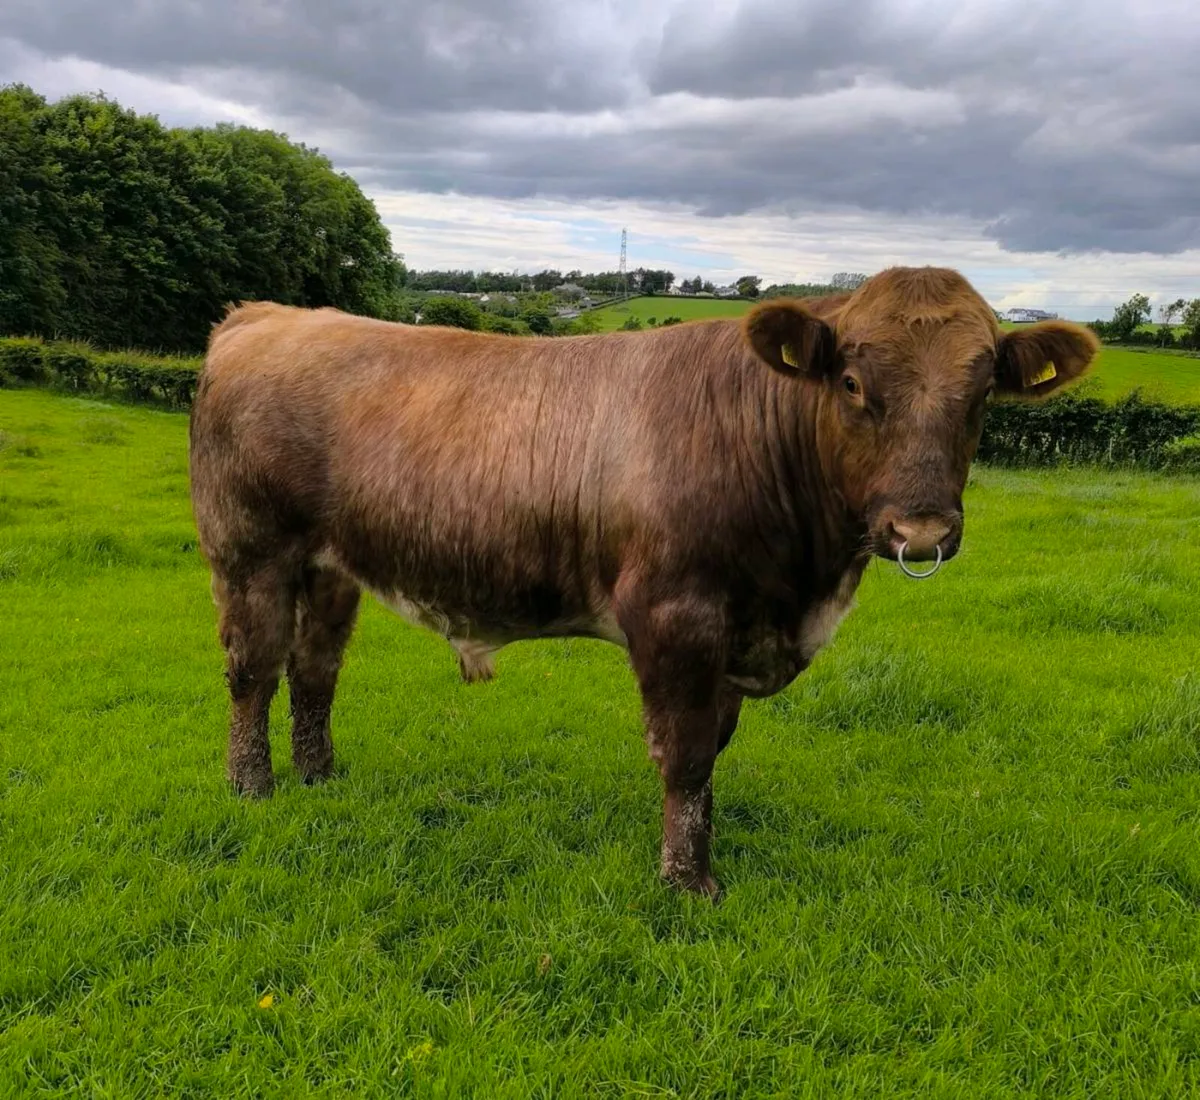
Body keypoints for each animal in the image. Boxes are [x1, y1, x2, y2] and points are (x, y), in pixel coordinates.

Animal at [187, 266, 1098, 899]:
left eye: (981, 393)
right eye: (850, 382)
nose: (921, 532)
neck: (802, 584)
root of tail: (264, 316)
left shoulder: (737, 626)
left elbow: (715, 750)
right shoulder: (675, 616)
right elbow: (687, 756)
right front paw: (688, 882)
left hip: (329, 566)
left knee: (314, 671)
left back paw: (320, 777)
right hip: (248, 550)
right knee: (252, 671)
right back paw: (253, 788)